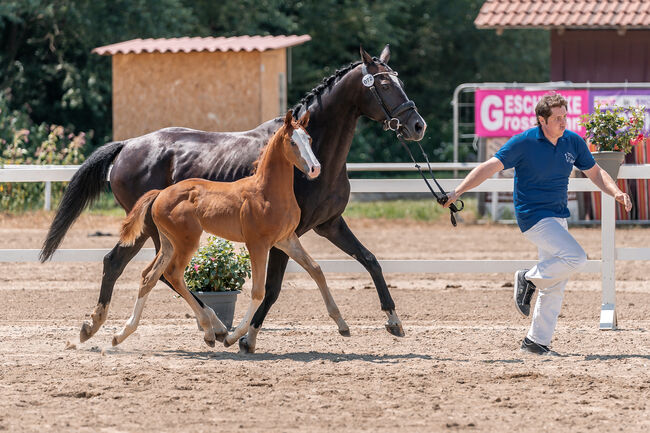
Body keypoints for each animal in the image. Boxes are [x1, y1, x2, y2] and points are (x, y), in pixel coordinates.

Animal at [114, 109, 322, 346]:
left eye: (309, 139)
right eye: (292, 142)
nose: (315, 169)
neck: (267, 192)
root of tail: (160, 193)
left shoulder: (285, 239)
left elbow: (314, 270)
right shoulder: (257, 244)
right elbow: (258, 291)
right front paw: (235, 337)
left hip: (168, 244)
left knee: (150, 275)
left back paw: (122, 333)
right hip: (186, 243)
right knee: (173, 275)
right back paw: (211, 330)